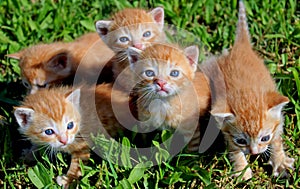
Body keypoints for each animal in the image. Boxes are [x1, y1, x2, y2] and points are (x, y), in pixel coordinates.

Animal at [200, 0, 294, 180]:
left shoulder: (278, 120)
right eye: (241, 141)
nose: (254, 152)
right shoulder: (226, 130)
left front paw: (279, 161)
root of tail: (240, 48)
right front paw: (241, 169)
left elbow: (277, 140)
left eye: (265, 138)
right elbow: (234, 149)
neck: (247, 95)